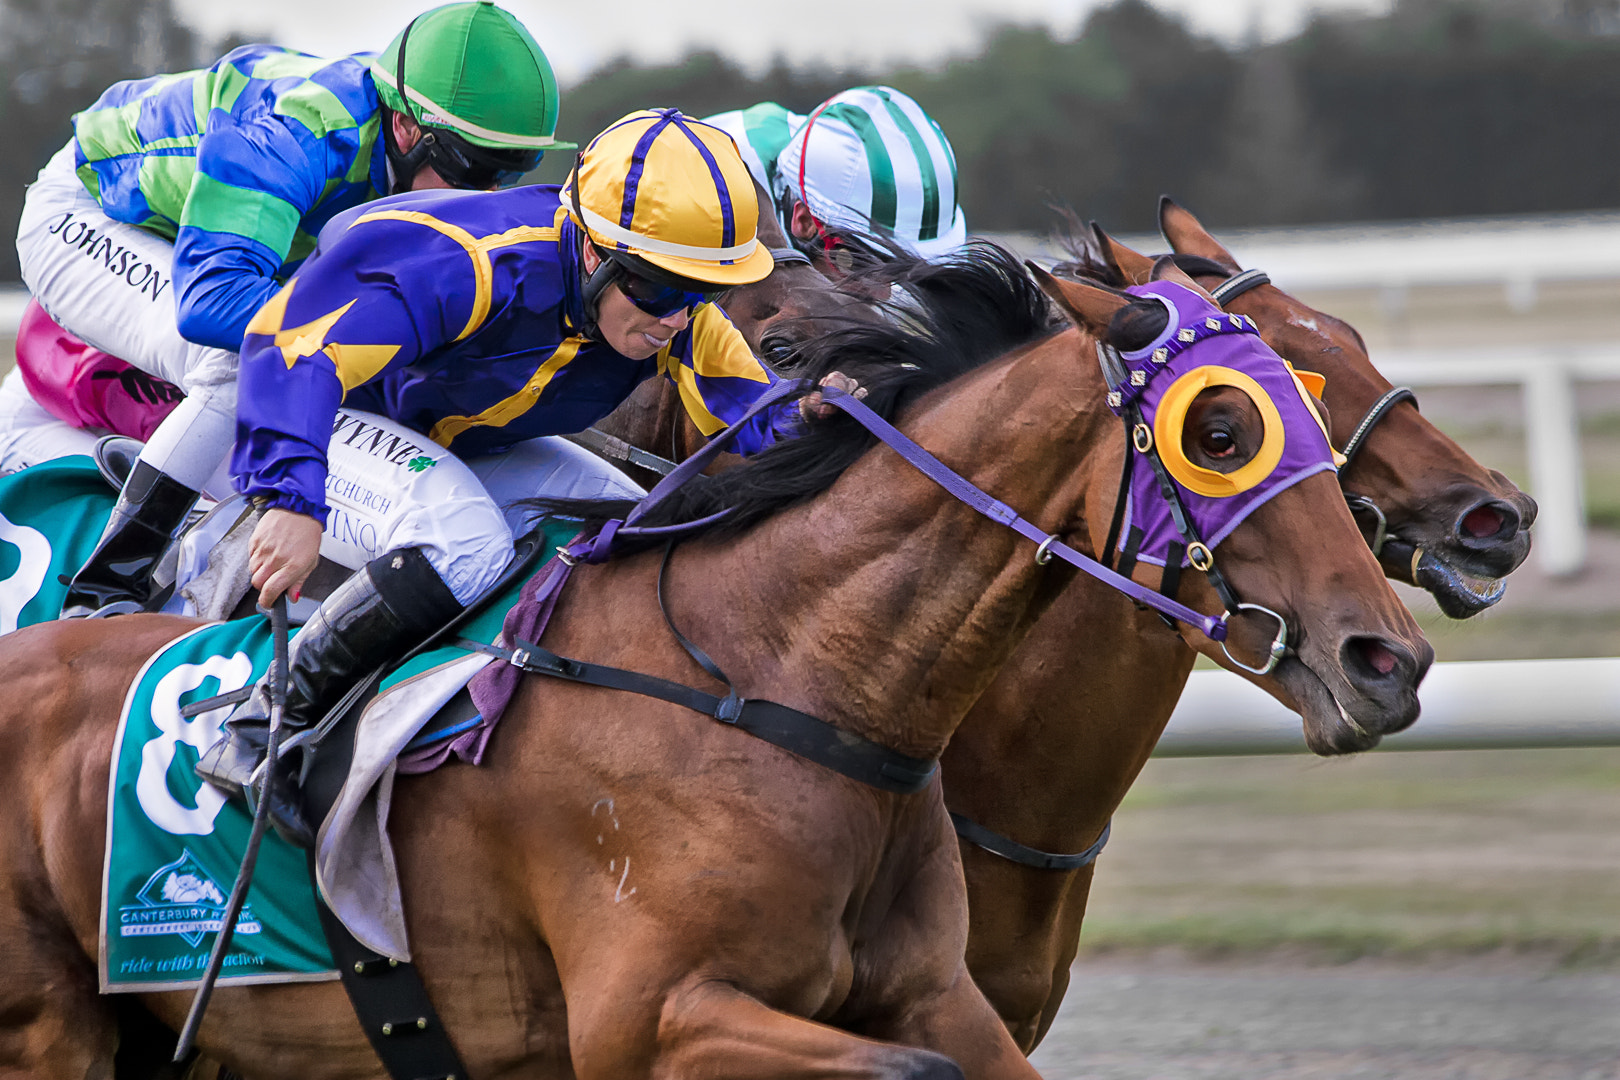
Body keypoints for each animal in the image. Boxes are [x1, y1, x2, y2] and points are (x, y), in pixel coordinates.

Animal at [0, 243, 1429, 1078]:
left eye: (1325, 385)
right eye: (1223, 429)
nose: (1389, 659)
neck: (784, 679)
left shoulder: (942, 993)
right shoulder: (649, 1020)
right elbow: (907, 1072)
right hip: (50, 1029)